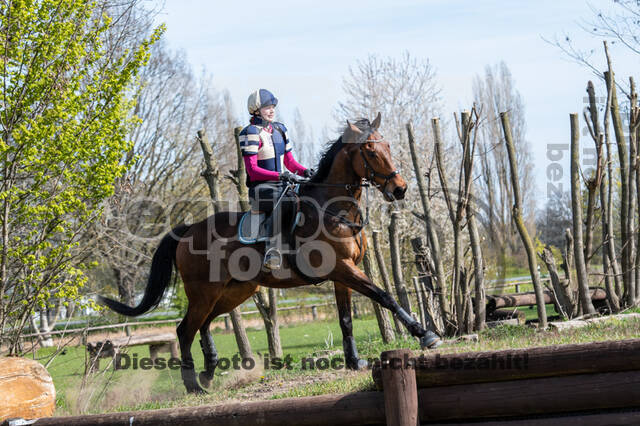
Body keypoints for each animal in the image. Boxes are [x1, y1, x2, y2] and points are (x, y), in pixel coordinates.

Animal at [99, 112, 440, 392]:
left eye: (388, 145)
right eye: (370, 150)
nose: (400, 189)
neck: (333, 211)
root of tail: (188, 230)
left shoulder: (343, 274)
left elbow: (345, 318)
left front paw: (354, 361)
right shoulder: (343, 269)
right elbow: (384, 296)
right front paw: (425, 334)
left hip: (234, 291)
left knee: (204, 324)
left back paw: (209, 372)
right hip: (204, 291)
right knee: (185, 330)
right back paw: (194, 385)